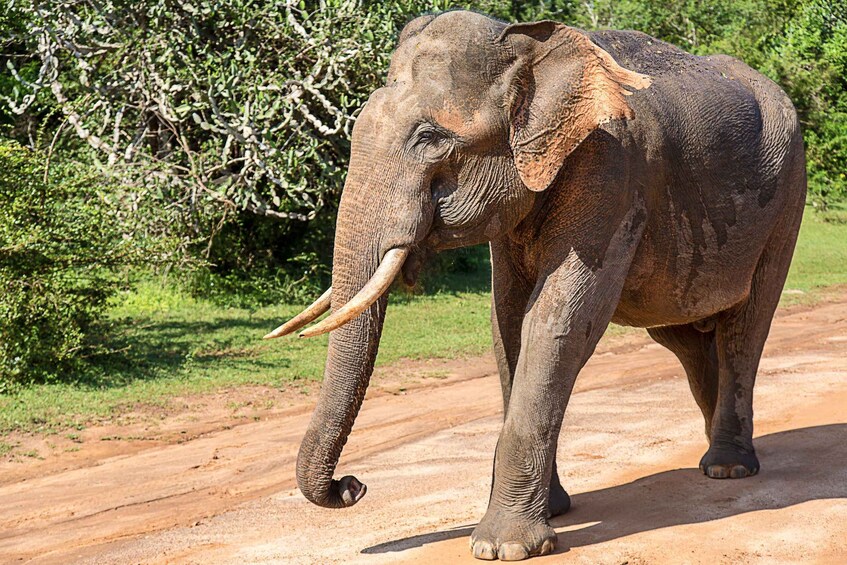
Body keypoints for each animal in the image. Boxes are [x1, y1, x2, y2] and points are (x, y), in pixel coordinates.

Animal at [265, 10, 806, 561]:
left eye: (430, 138)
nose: (352, 487)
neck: (528, 47)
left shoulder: (613, 167)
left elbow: (556, 320)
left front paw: (503, 547)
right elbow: (506, 321)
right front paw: (554, 512)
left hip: (787, 199)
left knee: (743, 331)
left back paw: (728, 467)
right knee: (684, 338)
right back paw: (713, 451)